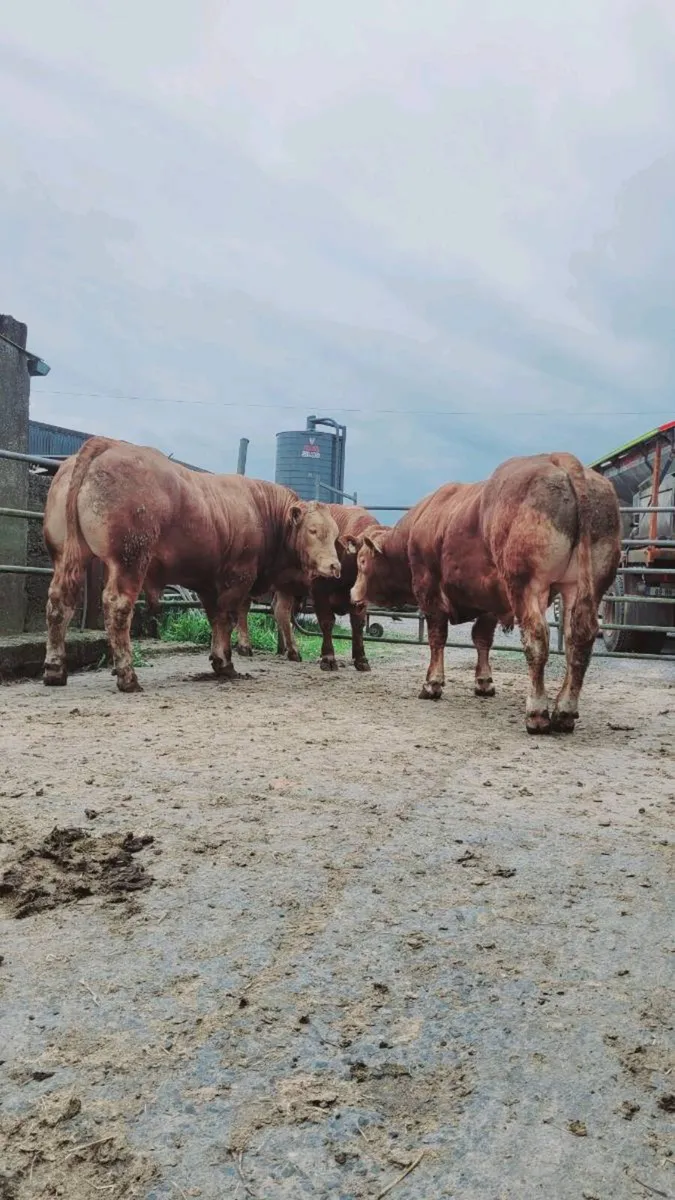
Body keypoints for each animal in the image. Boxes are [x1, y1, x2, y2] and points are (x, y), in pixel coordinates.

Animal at [42, 436, 341, 693]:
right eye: (313, 530)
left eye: (336, 533)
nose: (335, 566)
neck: (260, 511)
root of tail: (105, 444)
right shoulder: (239, 577)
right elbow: (228, 617)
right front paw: (226, 663)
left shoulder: (208, 584)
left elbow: (216, 618)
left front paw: (219, 659)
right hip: (130, 559)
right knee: (117, 607)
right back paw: (127, 676)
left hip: (65, 555)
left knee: (59, 602)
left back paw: (55, 670)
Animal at [233, 507, 389, 672]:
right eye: (363, 557)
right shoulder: (319, 591)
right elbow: (327, 621)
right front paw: (328, 658)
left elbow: (358, 625)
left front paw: (361, 660)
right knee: (243, 607)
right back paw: (244, 646)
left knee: (281, 610)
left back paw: (293, 651)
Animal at [349, 453, 621, 734]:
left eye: (362, 562)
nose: (353, 593)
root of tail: (562, 459)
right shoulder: (490, 600)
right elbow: (482, 638)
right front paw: (483, 682)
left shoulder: (429, 589)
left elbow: (437, 637)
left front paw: (432, 684)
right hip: (580, 586)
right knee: (578, 638)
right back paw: (564, 711)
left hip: (527, 585)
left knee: (537, 639)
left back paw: (536, 713)